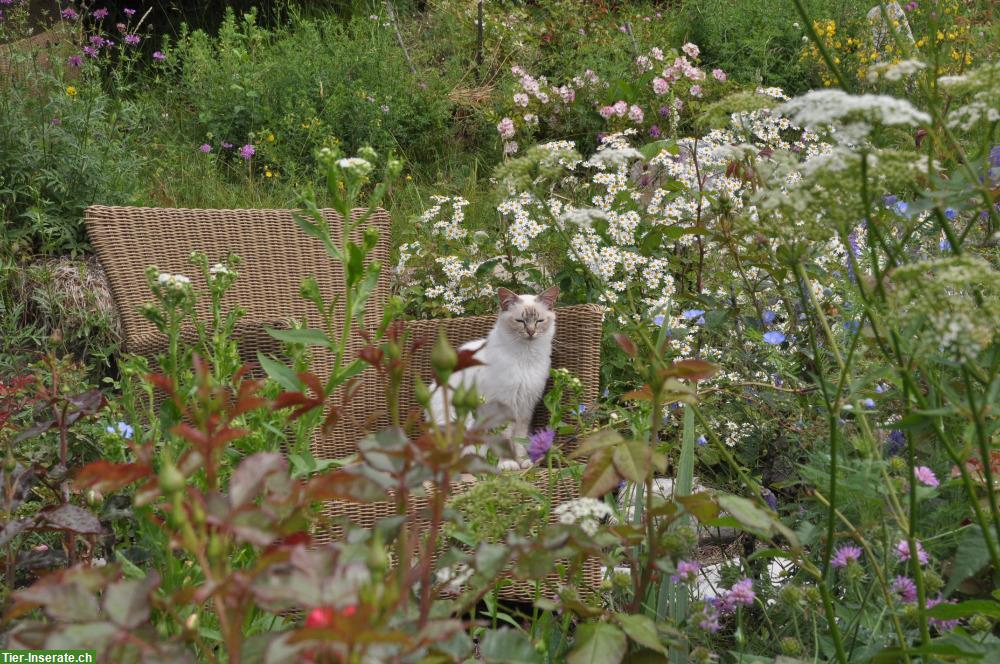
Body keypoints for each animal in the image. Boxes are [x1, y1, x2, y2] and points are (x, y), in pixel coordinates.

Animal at [426, 286, 560, 472]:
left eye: (539, 321)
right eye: (520, 321)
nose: (531, 332)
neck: (525, 357)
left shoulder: (525, 407)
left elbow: (519, 440)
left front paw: (523, 461)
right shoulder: (505, 404)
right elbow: (505, 439)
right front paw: (508, 464)